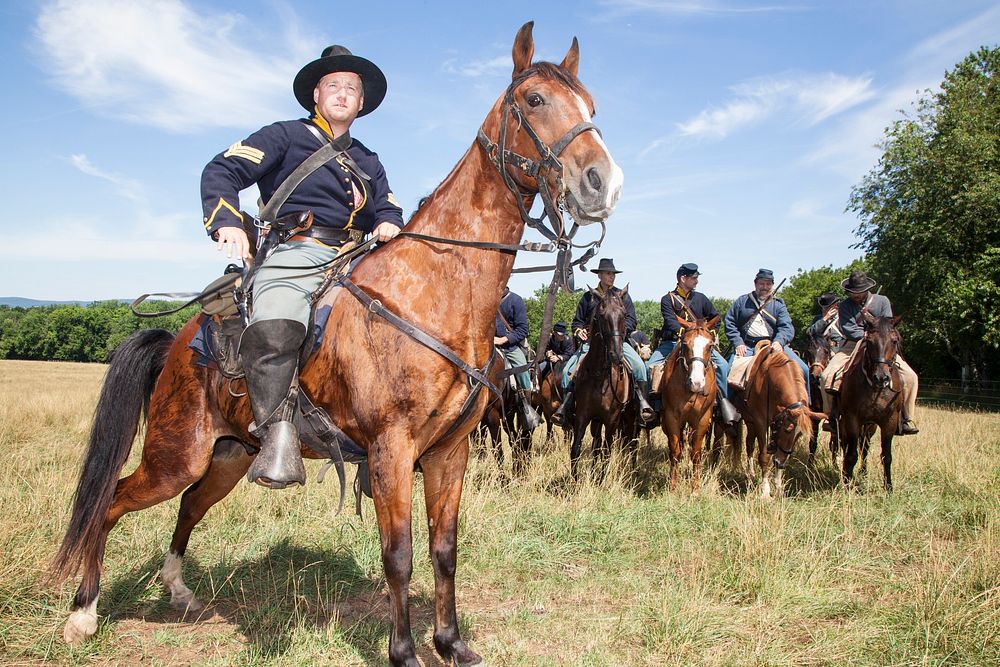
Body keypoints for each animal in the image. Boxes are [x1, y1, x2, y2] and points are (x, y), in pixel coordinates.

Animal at [52, 22, 624, 667]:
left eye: (592, 106)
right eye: (534, 99)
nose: (603, 182)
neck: (436, 291)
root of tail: (177, 344)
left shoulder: (449, 452)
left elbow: (445, 550)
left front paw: (451, 643)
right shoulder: (392, 450)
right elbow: (399, 555)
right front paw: (404, 652)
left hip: (227, 456)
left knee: (189, 506)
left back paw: (178, 591)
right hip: (174, 456)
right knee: (112, 500)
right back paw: (83, 613)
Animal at [568, 288, 636, 480]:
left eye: (624, 315)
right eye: (601, 316)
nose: (616, 355)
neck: (599, 375)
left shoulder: (612, 419)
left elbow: (607, 451)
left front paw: (601, 480)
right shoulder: (583, 416)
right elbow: (576, 449)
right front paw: (574, 481)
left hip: (629, 418)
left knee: (629, 444)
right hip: (597, 421)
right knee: (596, 445)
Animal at [660, 318, 724, 496]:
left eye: (710, 346)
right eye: (685, 344)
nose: (696, 383)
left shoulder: (702, 419)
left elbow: (696, 453)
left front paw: (695, 489)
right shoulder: (671, 418)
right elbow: (675, 451)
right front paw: (673, 486)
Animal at [740, 348, 824, 498]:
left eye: (799, 435)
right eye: (787, 429)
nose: (782, 464)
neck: (768, 381)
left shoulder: (775, 422)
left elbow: (776, 453)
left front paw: (778, 487)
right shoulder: (761, 422)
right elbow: (765, 455)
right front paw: (765, 491)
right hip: (750, 421)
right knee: (750, 445)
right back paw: (750, 475)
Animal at [836, 316, 908, 494]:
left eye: (894, 341)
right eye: (869, 341)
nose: (881, 377)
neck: (875, 390)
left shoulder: (889, 422)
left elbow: (886, 456)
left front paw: (888, 488)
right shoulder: (852, 419)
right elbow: (851, 454)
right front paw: (847, 484)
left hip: (870, 426)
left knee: (865, 448)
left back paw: (862, 473)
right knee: (847, 446)